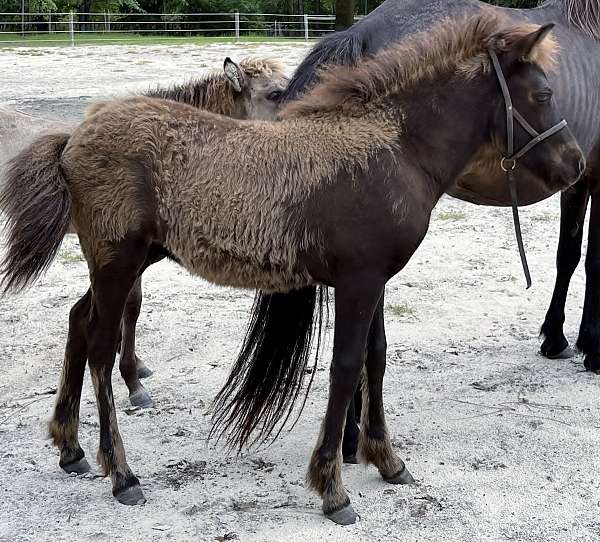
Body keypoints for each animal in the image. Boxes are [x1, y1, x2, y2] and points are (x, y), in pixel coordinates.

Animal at [0, 12, 584, 524]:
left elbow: (376, 358)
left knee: (79, 323)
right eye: (543, 95)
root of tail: (72, 139)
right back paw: (122, 474)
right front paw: (332, 488)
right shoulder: (357, 281)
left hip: (130, 259)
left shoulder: (375, 280)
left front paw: (387, 459)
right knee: (99, 346)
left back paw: (70, 448)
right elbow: (346, 367)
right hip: (118, 260)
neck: (394, 150)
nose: (576, 164)